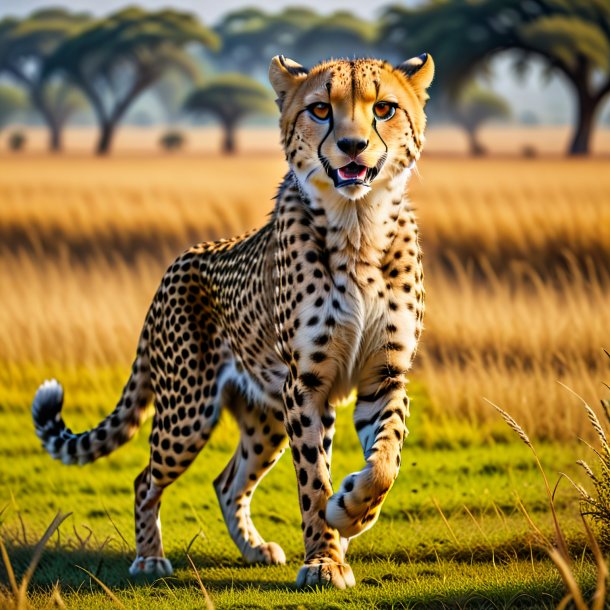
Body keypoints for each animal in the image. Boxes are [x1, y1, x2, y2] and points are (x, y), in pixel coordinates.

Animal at [32, 54, 432, 588]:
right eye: (320, 109)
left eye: (384, 108)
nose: (352, 146)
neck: (357, 223)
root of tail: (178, 261)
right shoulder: (306, 385)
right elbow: (313, 481)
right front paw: (325, 559)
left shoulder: (382, 377)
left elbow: (385, 461)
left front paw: (351, 513)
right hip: (189, 411)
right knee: (145, 478)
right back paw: (150, 558)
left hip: (265, 416)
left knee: (227, 481)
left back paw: (255, 548)